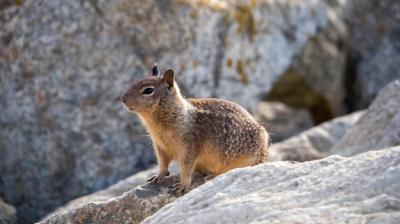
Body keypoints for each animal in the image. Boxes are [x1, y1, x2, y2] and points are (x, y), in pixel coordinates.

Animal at [121, 65, 268, 194]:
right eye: (134, 82)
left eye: (148, 90)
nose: (123, 99)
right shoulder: (160, 147)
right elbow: (162, 164)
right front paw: (158, 176)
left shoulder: (188, 148)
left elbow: (186, 169)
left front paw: (182, 186)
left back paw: (212, 175)